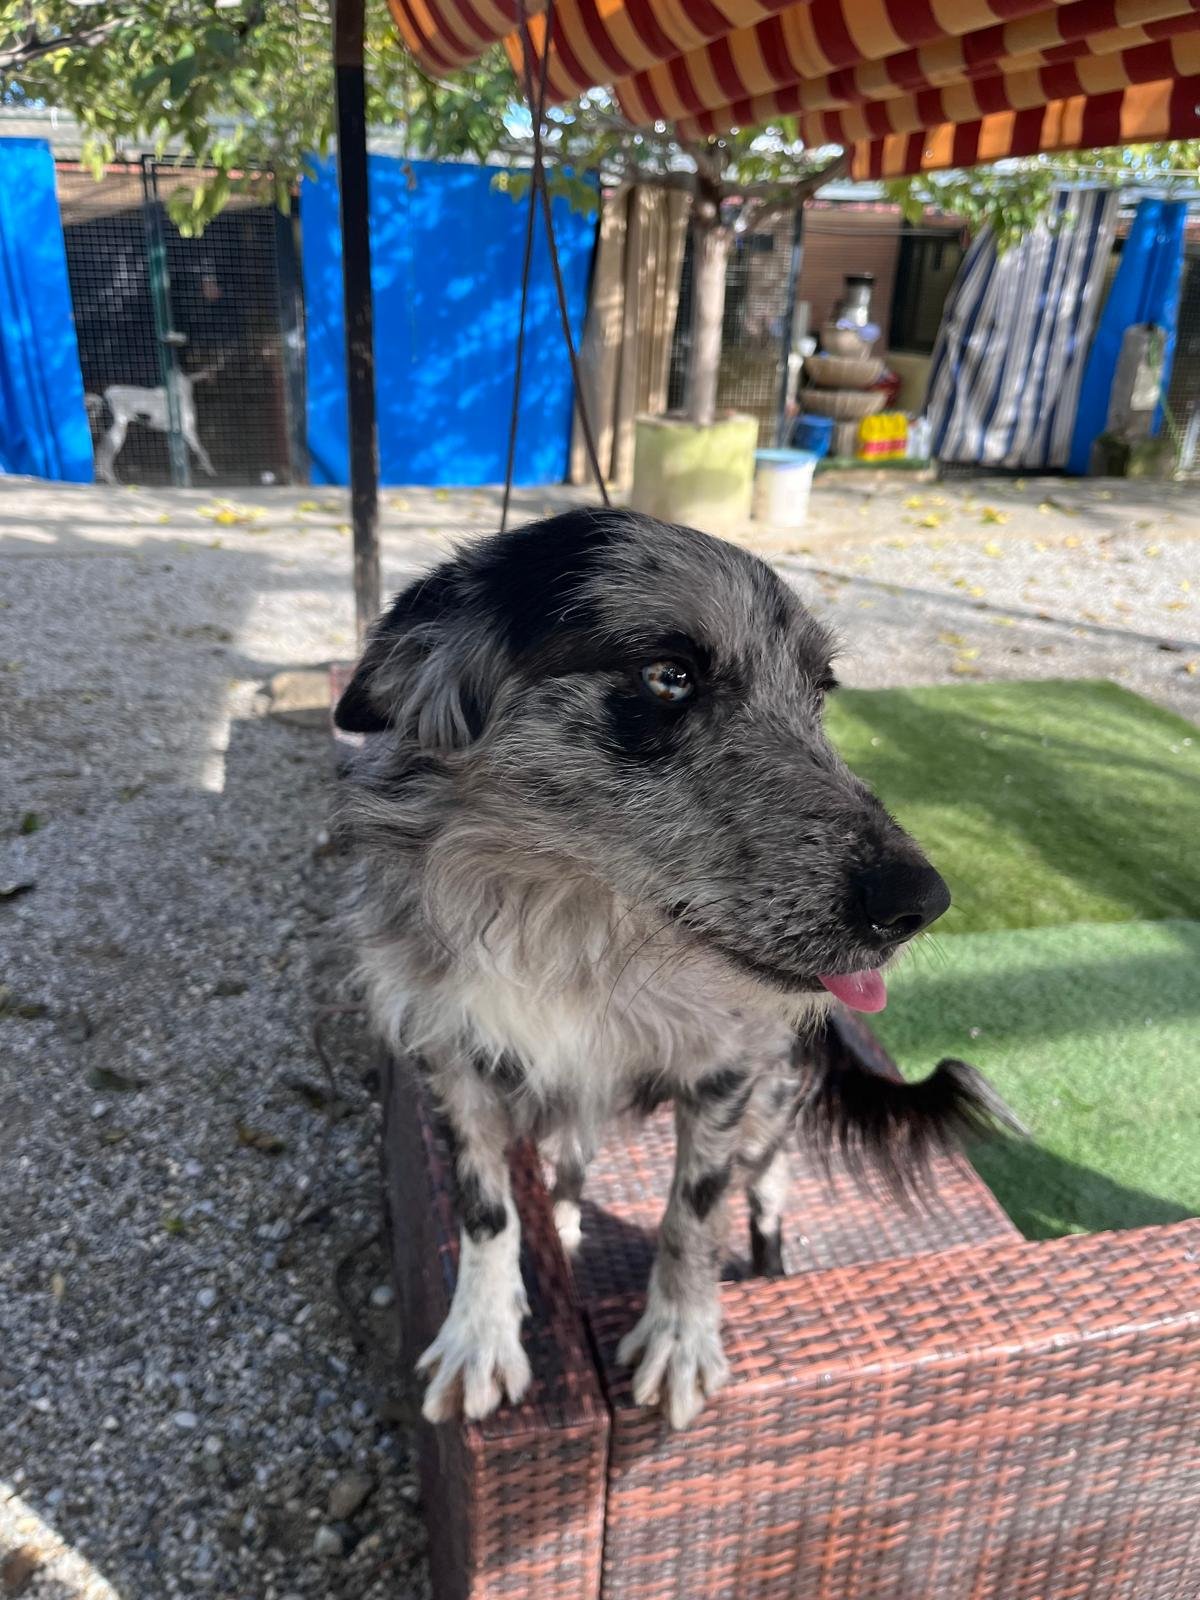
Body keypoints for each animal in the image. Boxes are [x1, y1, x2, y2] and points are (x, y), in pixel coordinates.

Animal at [334, 507, 1012, 1429]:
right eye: (668, 676)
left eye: (820, 692)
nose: (921, 904)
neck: (573, 935)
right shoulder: (451, 1057)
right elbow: (486, 1211)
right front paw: (482, 1332)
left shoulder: (730, 1073)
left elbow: (695, 1211)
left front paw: (683, 1334)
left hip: (772, 1118)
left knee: (765, 1193)